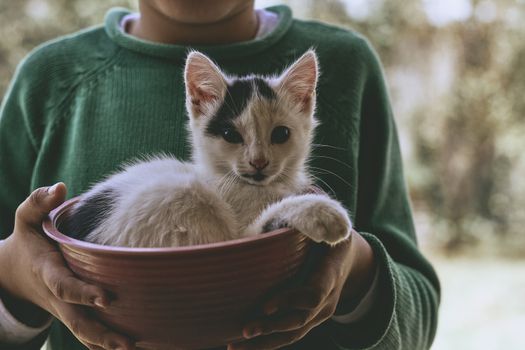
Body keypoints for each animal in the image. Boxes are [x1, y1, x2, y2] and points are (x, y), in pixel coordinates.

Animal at [62, 49, 352, 247]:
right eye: (230, 134)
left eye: (281, 134)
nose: (258, 162)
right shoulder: (236, 232)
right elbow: (254, 229)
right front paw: (321, 211)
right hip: (178, 196)